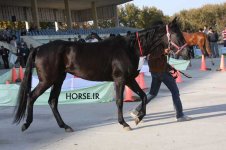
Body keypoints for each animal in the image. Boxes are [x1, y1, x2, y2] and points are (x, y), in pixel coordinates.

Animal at [13, 17, 188, 132]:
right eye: (177, 34)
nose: (187, 52)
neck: (130, 48)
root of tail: (39, 48)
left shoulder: (129, 79)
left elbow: (144, 96)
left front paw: (138, 118)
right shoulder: (120, 79)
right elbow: (119, 101)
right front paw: (124, 123)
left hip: (58, 79)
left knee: (52, 101)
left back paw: (65, 126)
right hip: (47, 80)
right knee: (32, 96)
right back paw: (26, 124)